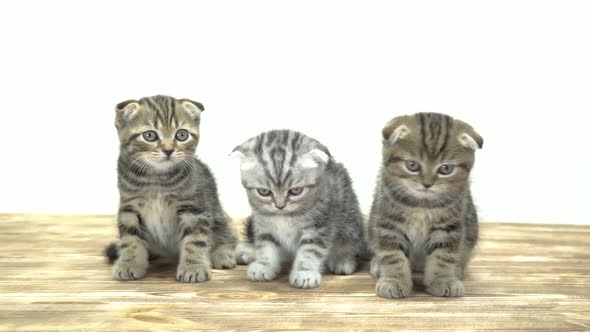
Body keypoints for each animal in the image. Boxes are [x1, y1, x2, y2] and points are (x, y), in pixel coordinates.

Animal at [105, 94, 237, 282]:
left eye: (181, 135)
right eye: (150, 135)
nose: (168, 150)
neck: (157, 179)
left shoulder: (194, 209)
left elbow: (195, 240)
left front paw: (193, 267)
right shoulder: (129, 208)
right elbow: (130, 239)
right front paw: (129, 263)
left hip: (218, 213)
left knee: (227, 234)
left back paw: (222, 254)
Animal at [231, 131, 366, 290]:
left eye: (295, 190)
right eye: (264, 191)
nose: (280, 206)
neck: (283, 216)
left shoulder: (319, 225)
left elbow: (310, 250)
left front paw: (305, 272)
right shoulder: (262, 224)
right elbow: (265, 245)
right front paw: (264, 265)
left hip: (349, 216)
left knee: (349, 242)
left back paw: (343, 260)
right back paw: (247, 252)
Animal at [372, 113, 484, 300]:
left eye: (445, 169)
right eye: (412, 165)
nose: (427, 184)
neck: (422, 204)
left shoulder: (448, 226)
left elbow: (443, 256)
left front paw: (443, 280)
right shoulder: (389, 223)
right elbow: (392, 255)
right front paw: (393, 281)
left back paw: (457, 269)